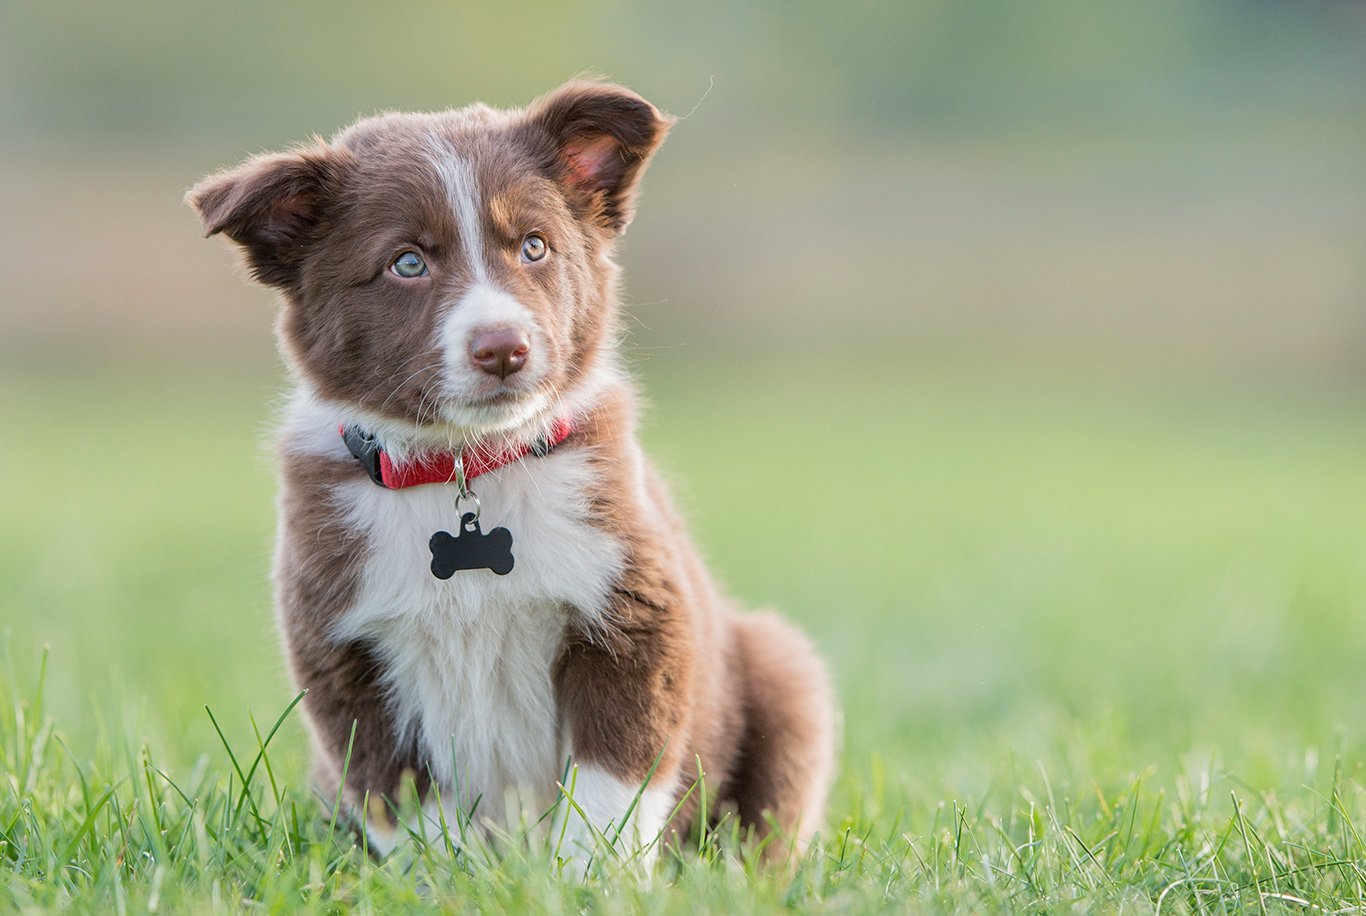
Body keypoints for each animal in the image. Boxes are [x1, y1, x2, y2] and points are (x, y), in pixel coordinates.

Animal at [188, 80, 835, 868]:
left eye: (534, 247)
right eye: (407, 263)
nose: (504, 347)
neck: (468, 464)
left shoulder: (635, 620)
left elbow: (609, 785)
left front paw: (588, 877)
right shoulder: (345, 658)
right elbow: (410, 800)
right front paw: (455, 876)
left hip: (782, 674)